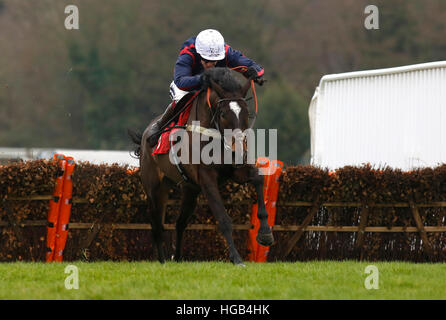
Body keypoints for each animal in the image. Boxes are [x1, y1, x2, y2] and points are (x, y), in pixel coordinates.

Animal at [127, 69, 274, 266]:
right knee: (156, 223)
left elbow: (258, 178)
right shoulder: (207, 178)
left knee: (180, 223)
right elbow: (223, 218)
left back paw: (177, 258)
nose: (237, 149)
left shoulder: (236, 169)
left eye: (246, 113)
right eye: (223, 114)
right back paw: (163, 260)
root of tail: (145, 135)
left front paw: (265, 233)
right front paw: (236, 258)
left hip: (189, 189)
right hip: (154, 188)